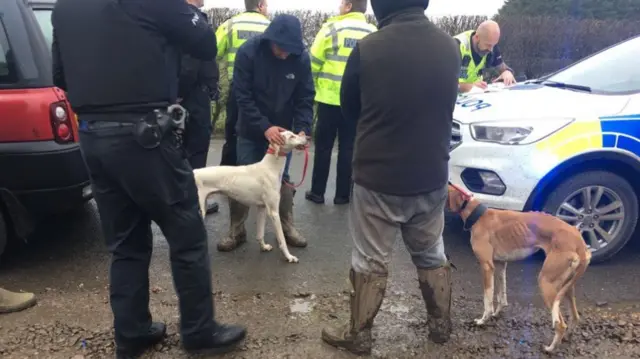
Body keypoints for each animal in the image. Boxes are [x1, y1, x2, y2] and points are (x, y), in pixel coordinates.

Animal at [192, 131, 308, 264]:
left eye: (294, 133)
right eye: (291, 136)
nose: (307, 137)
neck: (270, 167)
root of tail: (193, 172)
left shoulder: (262, 208)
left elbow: (260, 233)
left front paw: (264, 247)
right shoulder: (273, 212)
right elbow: (282, 240)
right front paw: (289, 257)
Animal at [444, 184, 592, 352]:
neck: (479, 215)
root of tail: (580, 241)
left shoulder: (486, 266)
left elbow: (487, 298)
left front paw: (483, 320)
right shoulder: (500, 265)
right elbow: (501, 295)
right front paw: (497, 313)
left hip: (546, 282)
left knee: (561, 325)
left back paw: (550, 348)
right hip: (566, 286)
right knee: (575, 316)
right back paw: (566, 337)